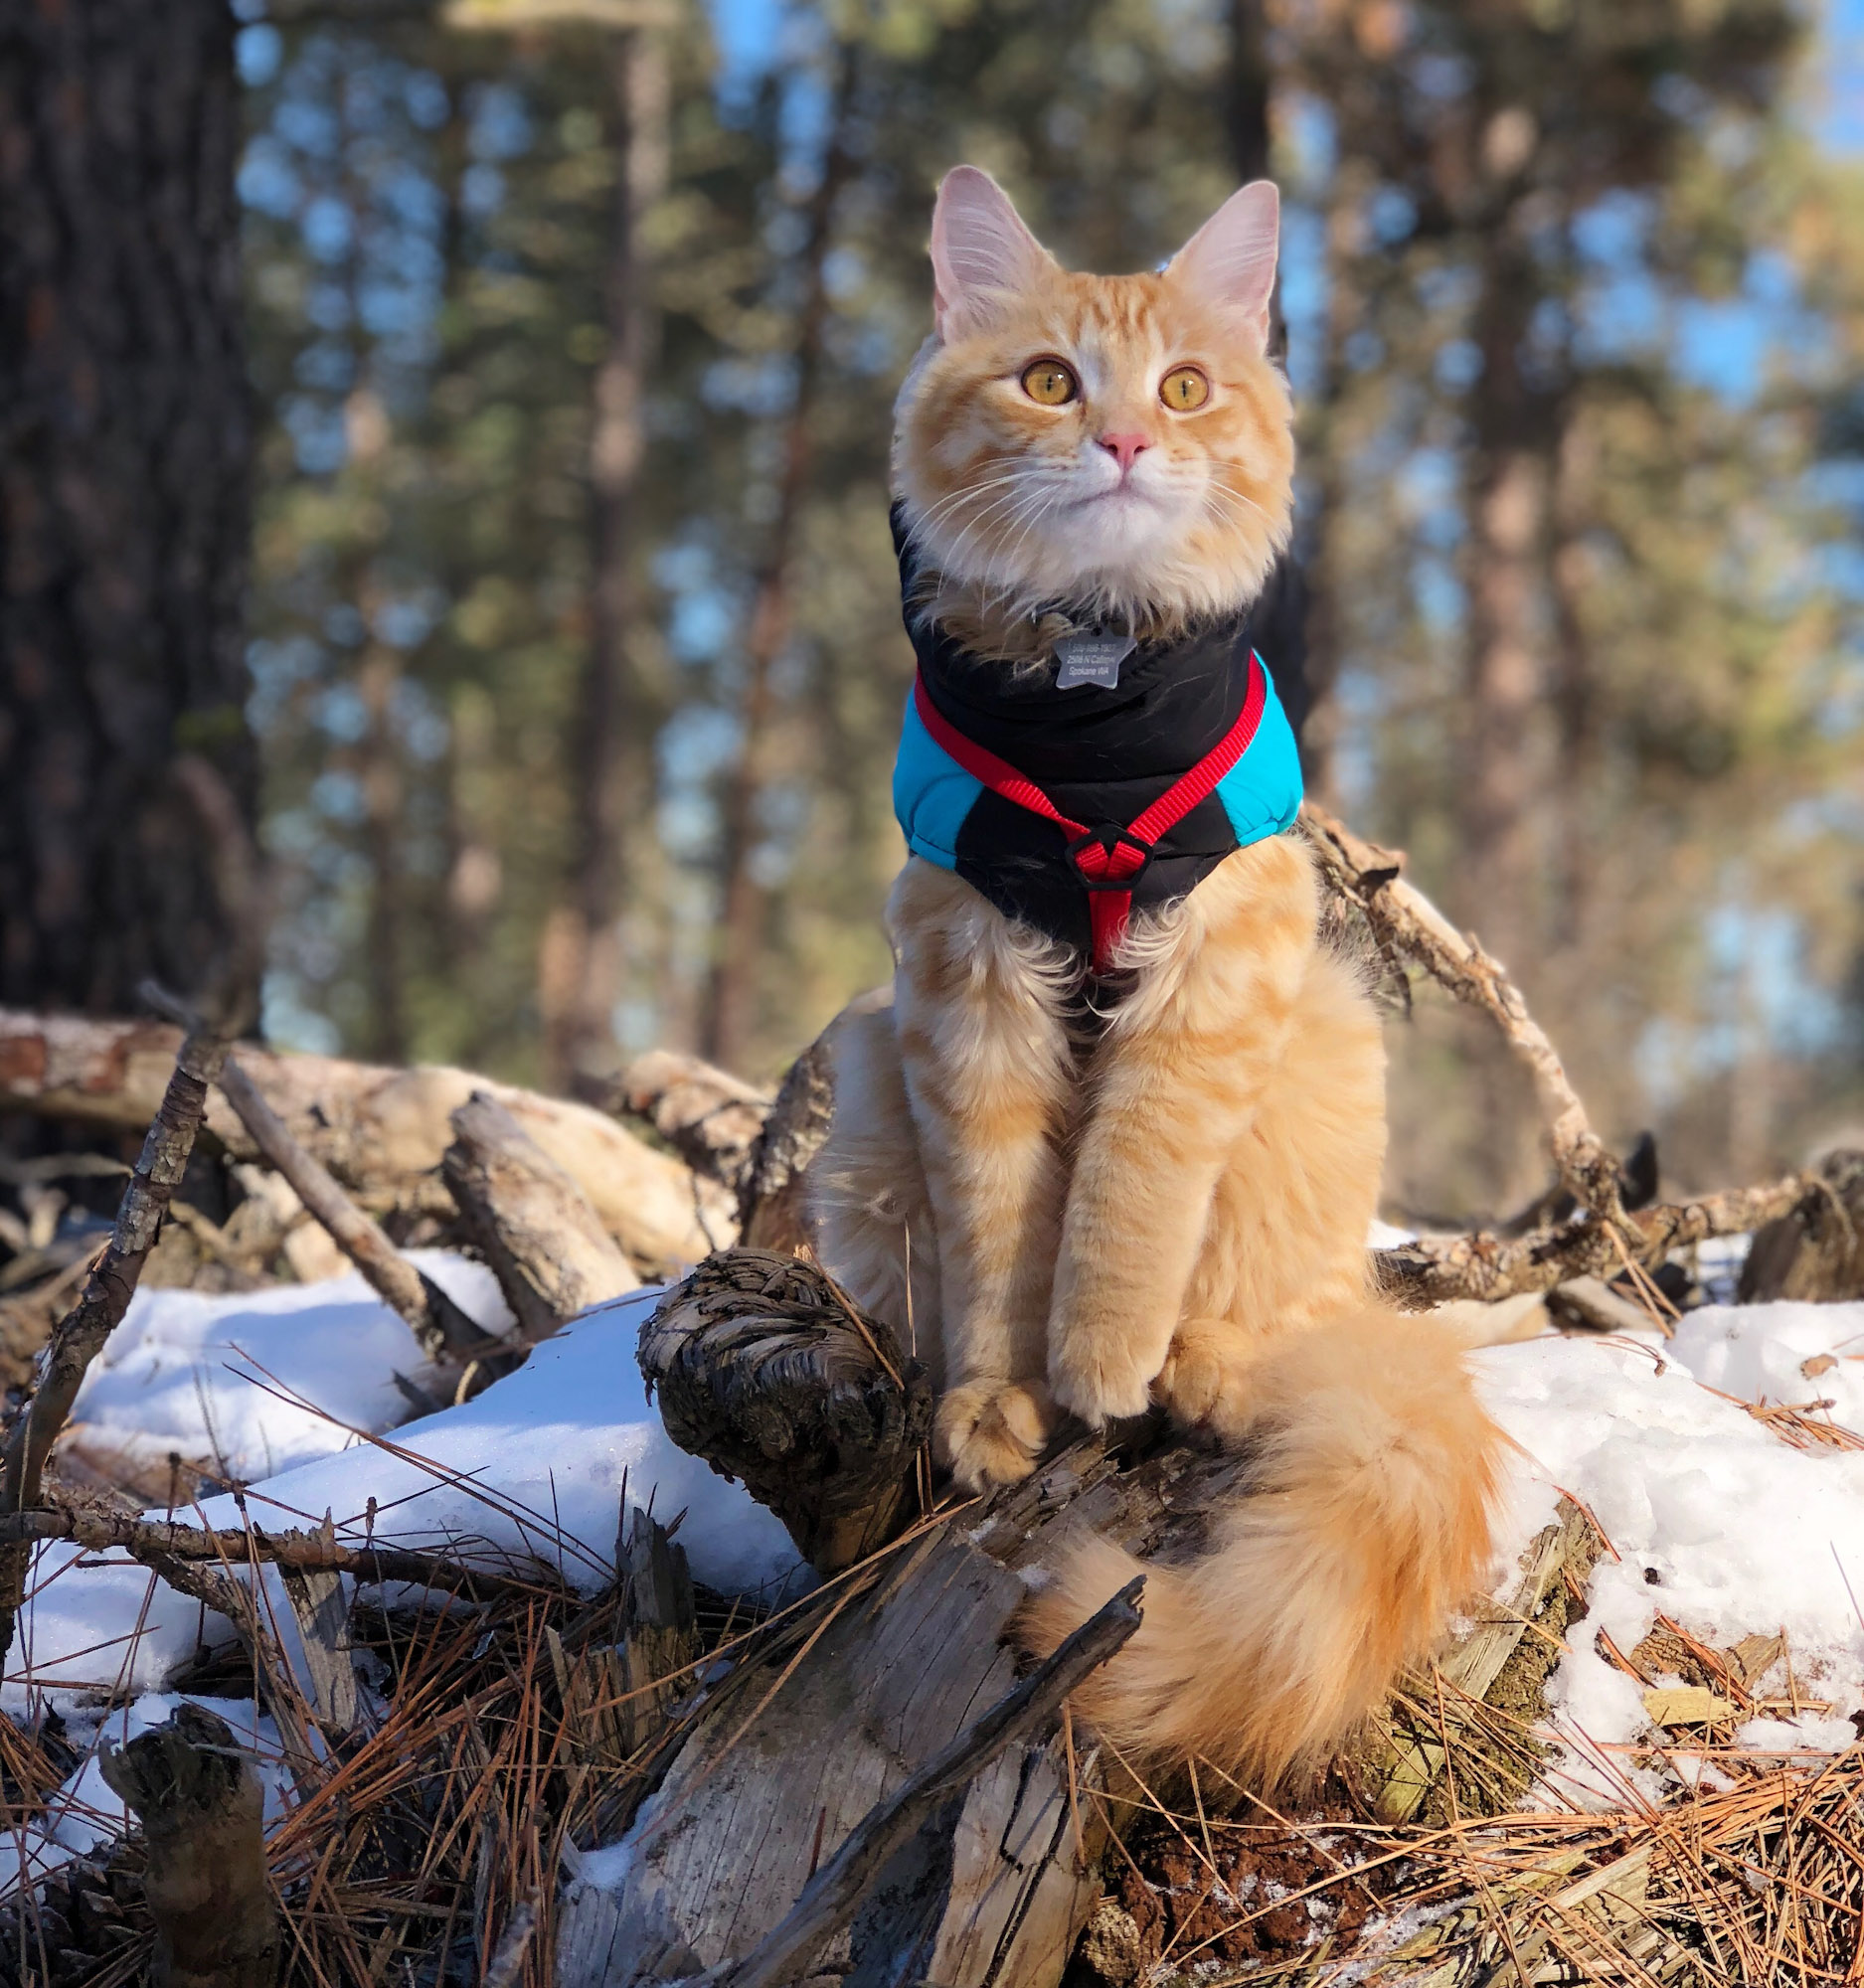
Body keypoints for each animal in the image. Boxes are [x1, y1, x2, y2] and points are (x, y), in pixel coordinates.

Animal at [806, 171, 1502, 1789]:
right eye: (1049, 382)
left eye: (1183, 389)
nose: (1124, 443)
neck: (1092, 712)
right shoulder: (962, 980)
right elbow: (1003, 1229)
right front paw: (1003, 1399)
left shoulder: (1214, 969)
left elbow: (1126, 1199)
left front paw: (1105, 1362)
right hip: (865, 1088)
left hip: (1317, 1061)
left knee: (1273, 1307)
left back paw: (1202, 1367)